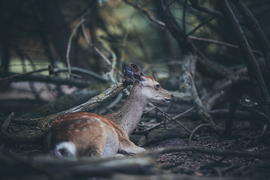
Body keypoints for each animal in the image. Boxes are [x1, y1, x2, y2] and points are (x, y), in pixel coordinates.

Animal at [44, 64, 173, 157]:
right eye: (157, 85)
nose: (171, 95)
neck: (124, 127)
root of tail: (59, 144)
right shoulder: (124, 140)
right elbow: (143, 149)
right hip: (96, 136)